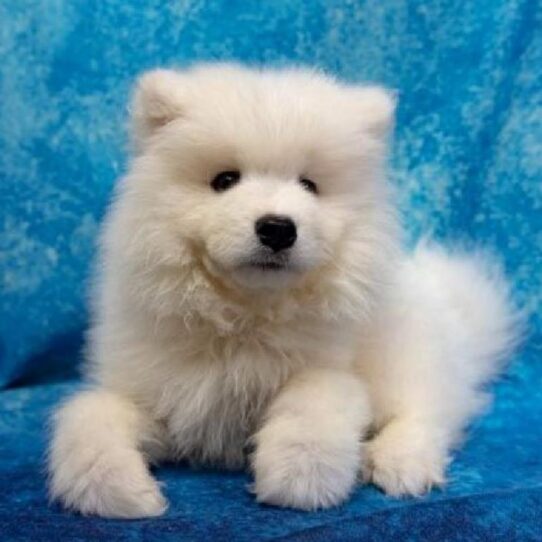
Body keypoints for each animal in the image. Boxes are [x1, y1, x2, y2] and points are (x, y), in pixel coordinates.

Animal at [47, 63, 524, 520]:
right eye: (224, 180)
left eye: (309, 186)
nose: (277, 228)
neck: (245, 317)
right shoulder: (157, 391)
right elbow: (88, 417)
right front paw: (121, 492)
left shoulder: (332, 369)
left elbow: (314, 400)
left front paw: (299, 481)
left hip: (405, 356)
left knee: (428, 411)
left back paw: (400, 464)